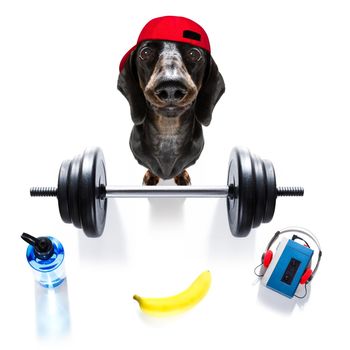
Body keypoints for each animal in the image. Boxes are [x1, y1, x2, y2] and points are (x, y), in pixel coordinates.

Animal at [118, 39, 224, 186]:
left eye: (194, 54)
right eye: (145, 52)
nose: (171, 89)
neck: (168, 133)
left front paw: (182, 176)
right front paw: (150, 176)